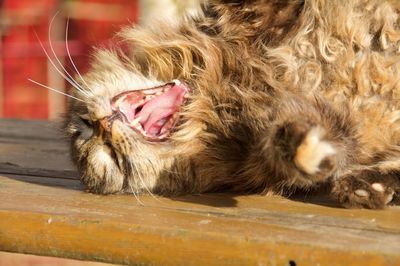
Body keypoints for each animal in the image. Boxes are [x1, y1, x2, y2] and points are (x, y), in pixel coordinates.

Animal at [63, 0, 400, 209]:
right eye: (113, 158)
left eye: (83, 127)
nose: (101, 126)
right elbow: (302, 147)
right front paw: (307, 151)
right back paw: (367, 187)